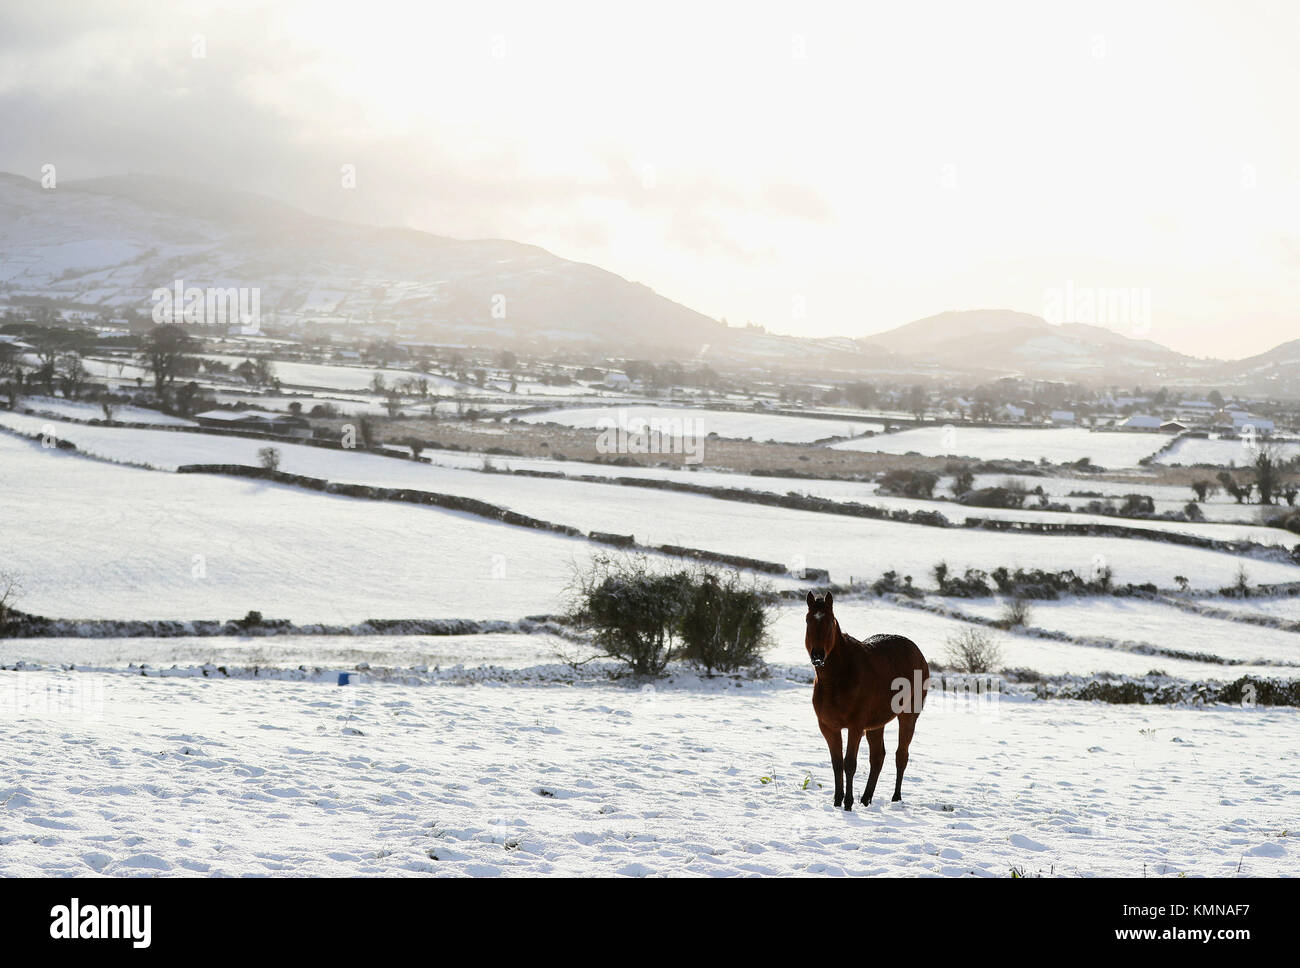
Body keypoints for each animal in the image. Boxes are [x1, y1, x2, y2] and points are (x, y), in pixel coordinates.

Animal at [806, 589, 930, 805]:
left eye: (830, 623)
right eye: (808, 621)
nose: (818, 655)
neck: (837, 679)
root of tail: (917, 651)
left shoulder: (855, 727)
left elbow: (849, 764)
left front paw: (848, 804)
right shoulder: (828, 727)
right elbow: (837, 763)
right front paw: (837, 802)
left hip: (908, 716)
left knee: (901, 755)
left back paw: (895, 798)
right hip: (876, 724)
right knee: (878, 757)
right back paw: (866, 799)